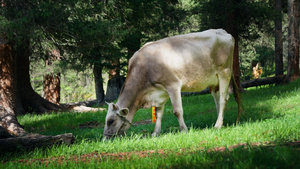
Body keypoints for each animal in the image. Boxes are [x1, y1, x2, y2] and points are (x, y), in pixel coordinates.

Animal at [103, 29, 241, 140]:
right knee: (217, 100)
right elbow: (158, 114)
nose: (105, 139)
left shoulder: (172, 85)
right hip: (213, 81)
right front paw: (155, 133)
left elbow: (177, 111)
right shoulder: (159, 93)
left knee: (223, 98)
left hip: (224, 72)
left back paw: (218, 125)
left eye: (111, 121)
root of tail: (223, 31)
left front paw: (184, 130)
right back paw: (220, 121)